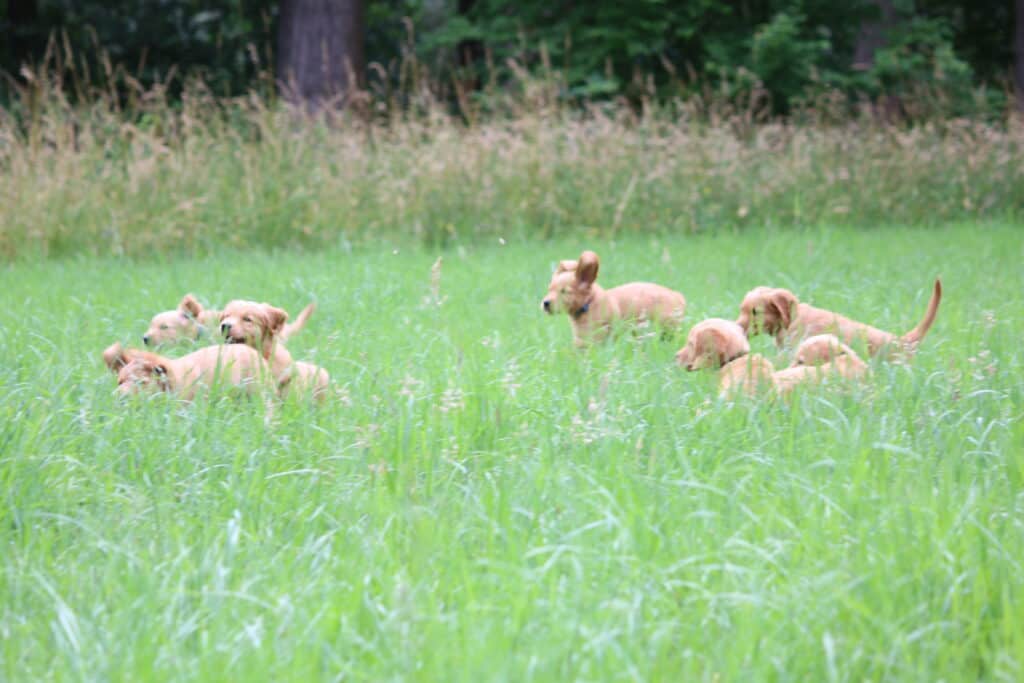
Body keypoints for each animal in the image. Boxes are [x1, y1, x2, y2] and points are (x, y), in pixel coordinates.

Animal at [542, 250, 686, 346]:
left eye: (564, 291)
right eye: (549, 289)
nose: (545, 303)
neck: (589, 303)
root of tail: (678, 295)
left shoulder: (597, 335)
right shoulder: (581, 339)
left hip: (668, 327)